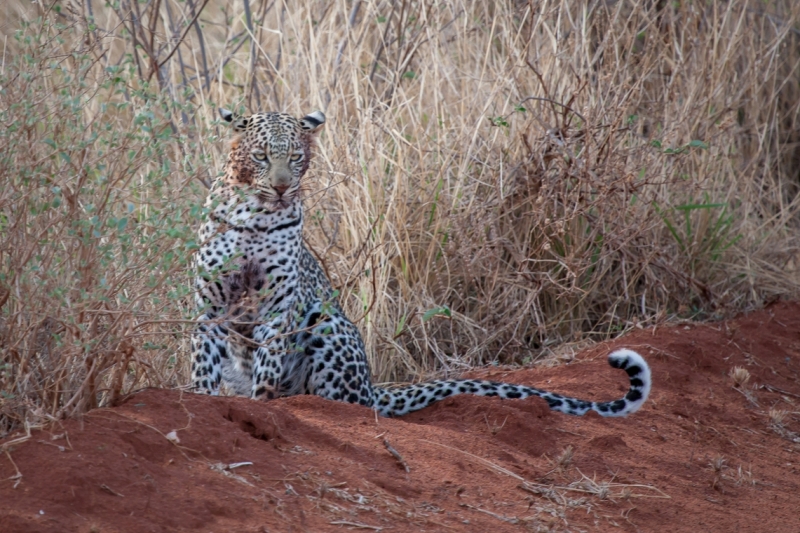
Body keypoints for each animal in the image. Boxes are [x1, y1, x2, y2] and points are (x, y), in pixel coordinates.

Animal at [191, 107, 652, 416]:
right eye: (261, 157)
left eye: (296, 157)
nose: (283, 188)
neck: (256, 216)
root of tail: (372, 386)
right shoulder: (210, 308)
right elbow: (202, 366)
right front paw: (200, 399)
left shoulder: (279, 306)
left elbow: (268, 365)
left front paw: (262, 405)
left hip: (328, 323)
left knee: (350, 403)